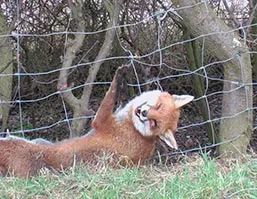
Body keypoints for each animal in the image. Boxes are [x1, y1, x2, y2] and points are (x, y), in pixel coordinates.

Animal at [0, 65, 193, 177]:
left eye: (155, 123)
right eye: (159, 107)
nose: (143, 113)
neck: (134, 129)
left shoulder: (101, 121)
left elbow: (110, 94)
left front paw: (119, 76)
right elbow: (120, 97)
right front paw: (125, 84)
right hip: (40, 140)